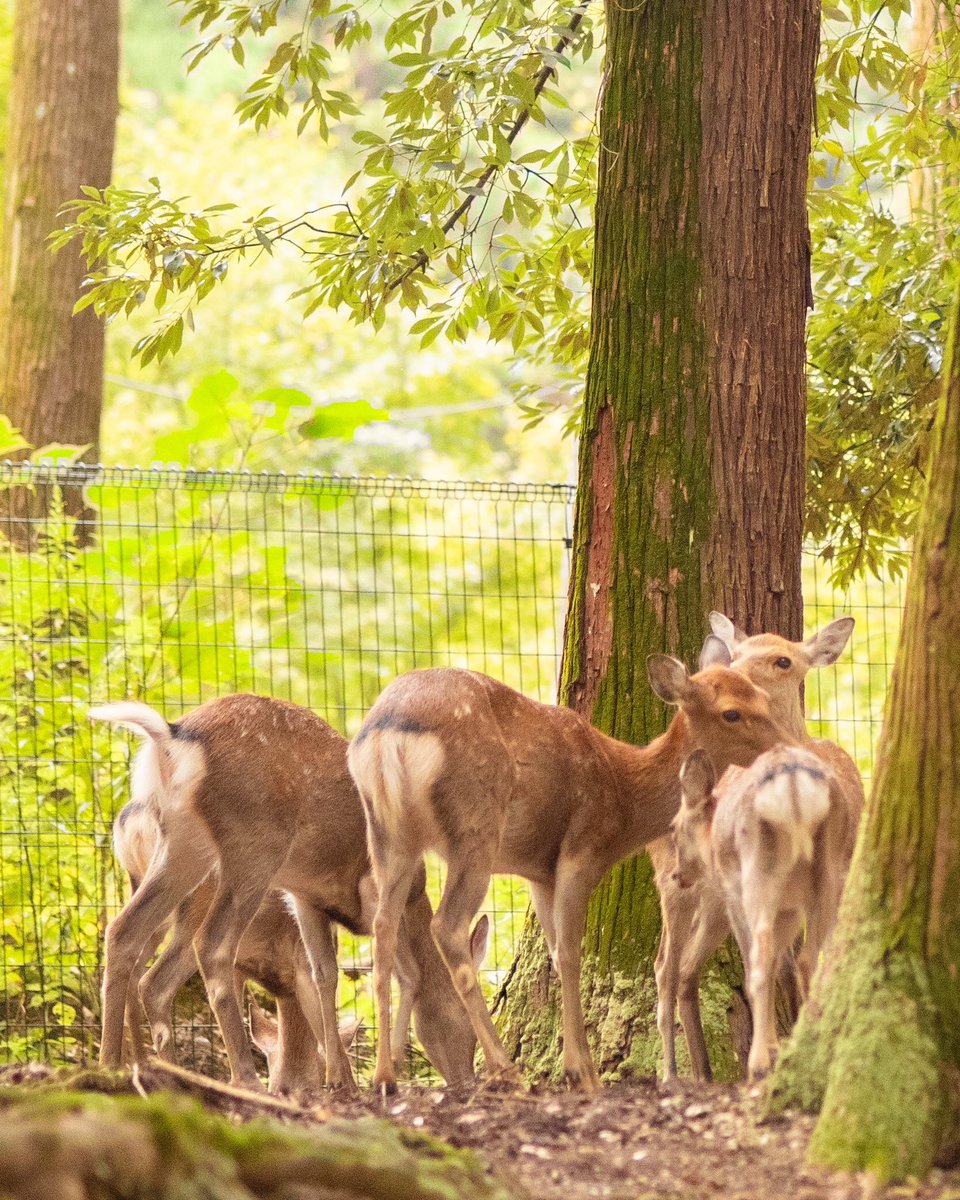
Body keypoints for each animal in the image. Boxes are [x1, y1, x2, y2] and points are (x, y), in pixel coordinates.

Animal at [112, 796, 360, 1096]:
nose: (288, 1090)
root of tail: (131, 821)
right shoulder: (298, 956)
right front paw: (346, 1086)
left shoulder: (246, 965)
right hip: (194, 911)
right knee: (153, 979)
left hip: (150, 904)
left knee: (132, 964)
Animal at [347, 659, 794, 1094]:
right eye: (731, 712)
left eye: (763, 696)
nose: (788, 746)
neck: (624, 795)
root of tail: (387, 732)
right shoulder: (581, 849)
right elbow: (569, 954)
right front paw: (582, 1073)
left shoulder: (538, 871)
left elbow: (555, 953)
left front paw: (575, 1065)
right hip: (475, 827)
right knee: (447, 926)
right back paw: (505, 1070)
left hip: (387, 836)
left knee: (383, 927)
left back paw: (385, 1077)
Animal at [673, 743, 852, 1079]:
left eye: (673, 828)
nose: (677, 875)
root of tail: (793, 787)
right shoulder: (791, 910)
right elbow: (783, 966)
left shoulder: (734, 896)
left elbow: (763, 966)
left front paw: (769, 1049)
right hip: (830, 874)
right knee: (816, 956)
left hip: (759, 874)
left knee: (761, 960)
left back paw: (758, 1062)